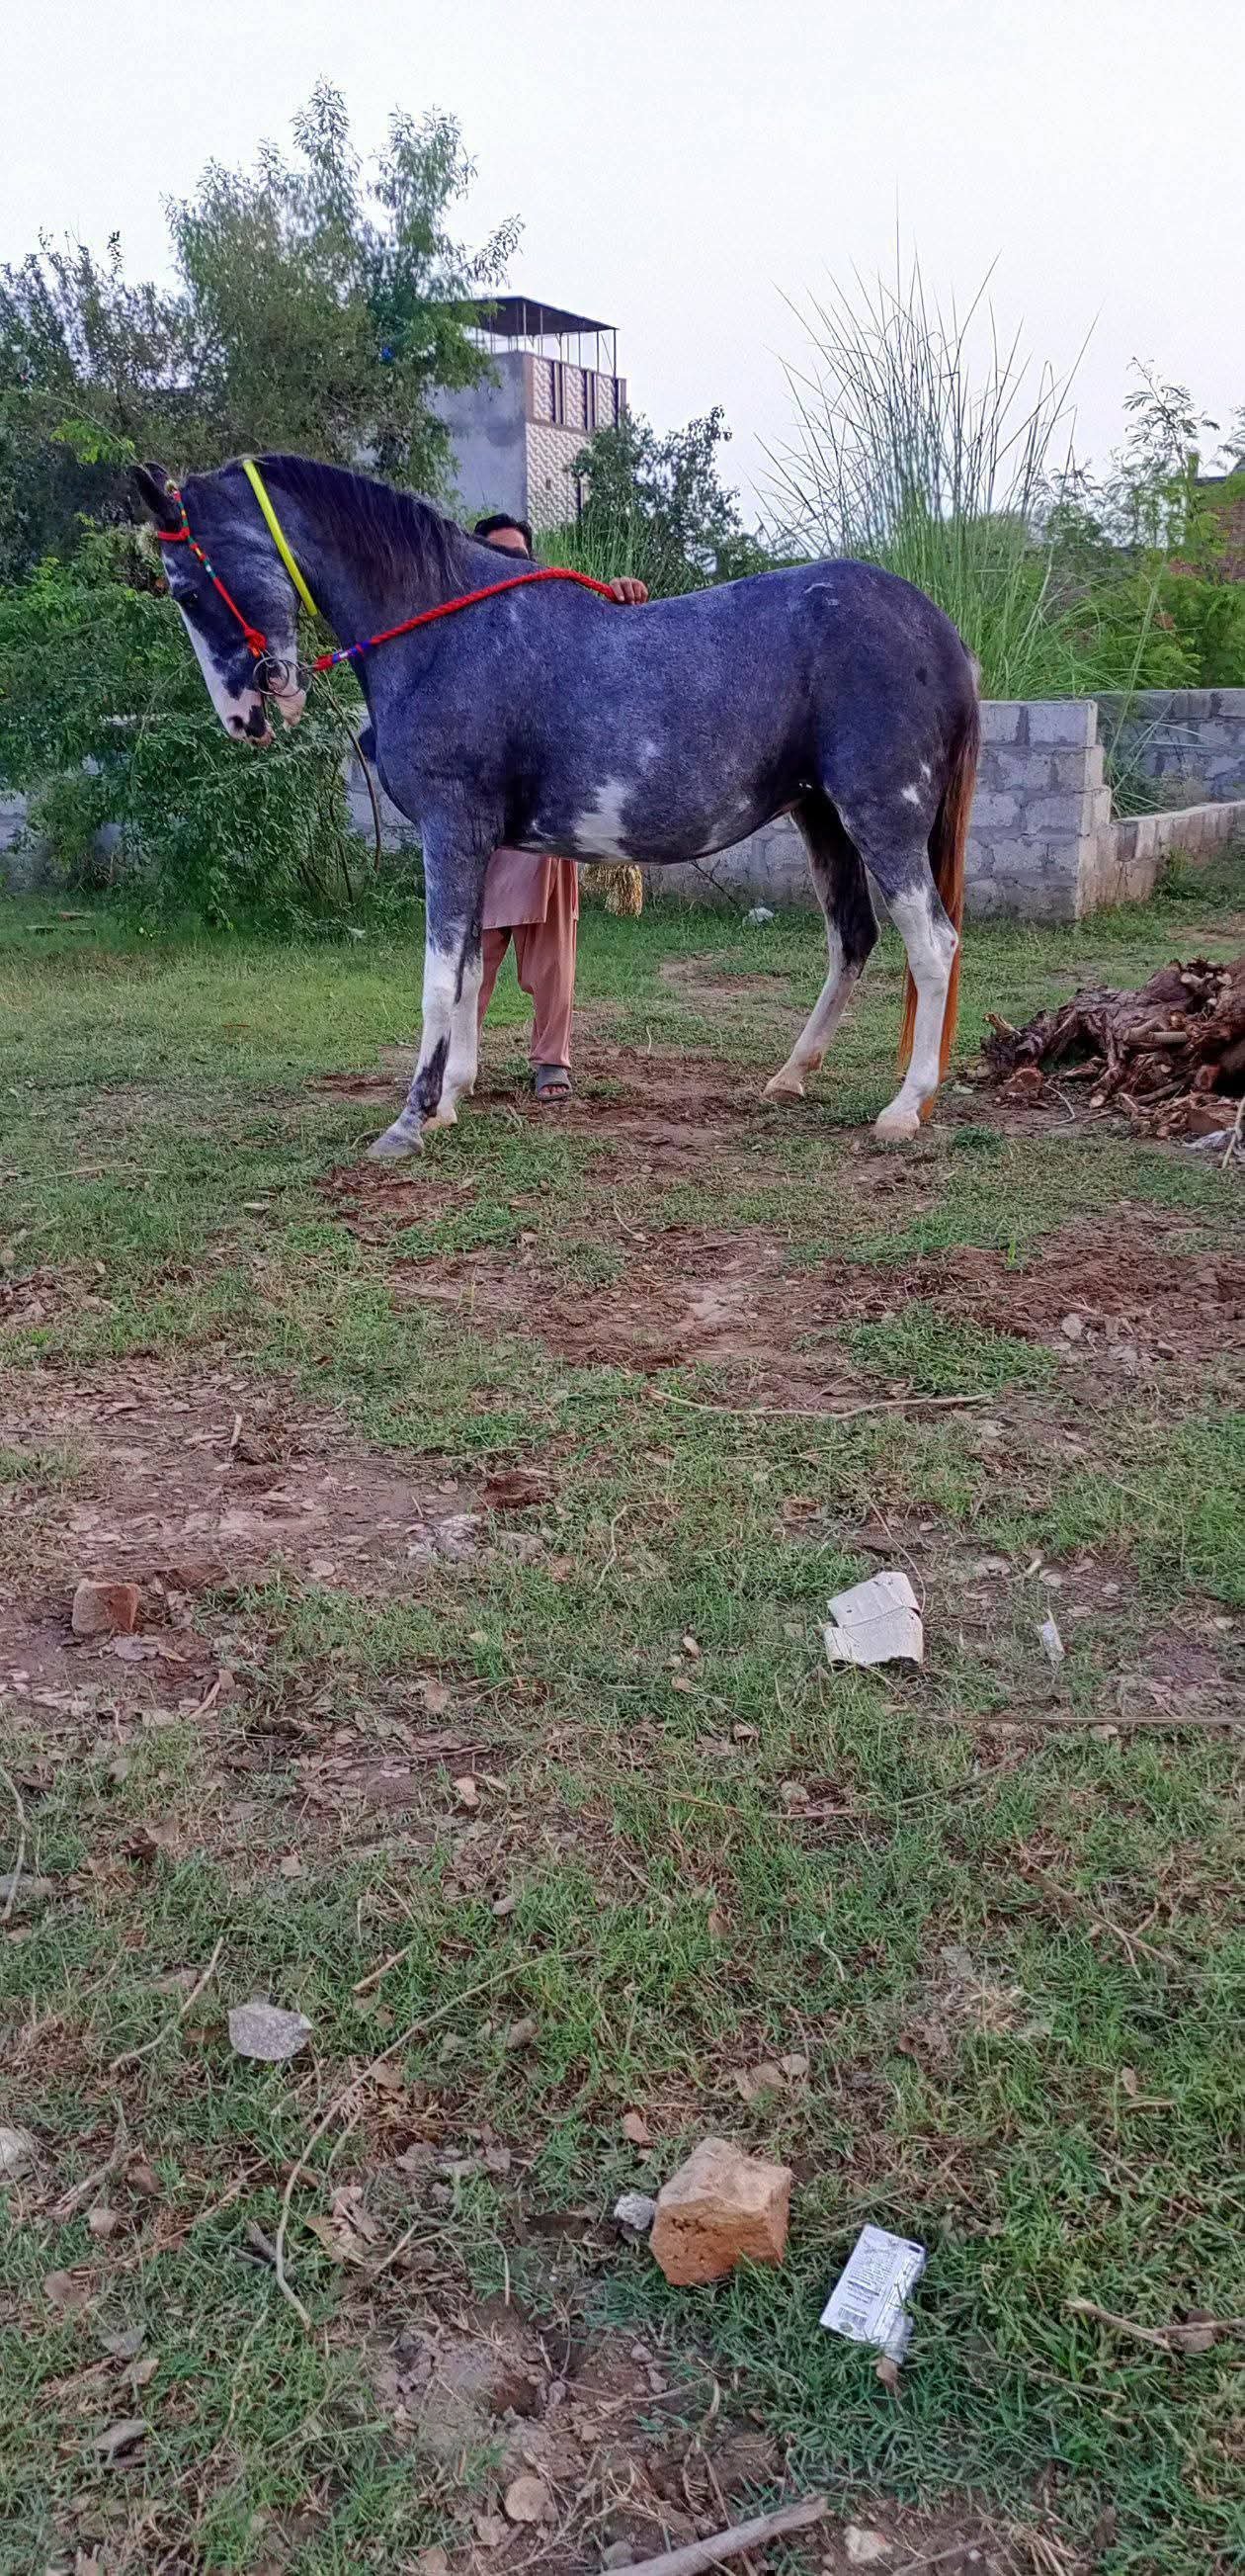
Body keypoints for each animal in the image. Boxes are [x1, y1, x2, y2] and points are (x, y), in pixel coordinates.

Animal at [133, 453, 979, 1159]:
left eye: (187, 588)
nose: (246, 716)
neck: (444, 630)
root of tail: (935, 627)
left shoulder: (451, 830)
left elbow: (439, 977)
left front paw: (409, 1121)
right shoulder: (476, 843)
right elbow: (472, 968)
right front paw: (450, 1101)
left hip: (880, 814)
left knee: (933, 944)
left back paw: (905, 1107)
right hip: (822, 817)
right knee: (853, 938)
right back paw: (791, 1076)